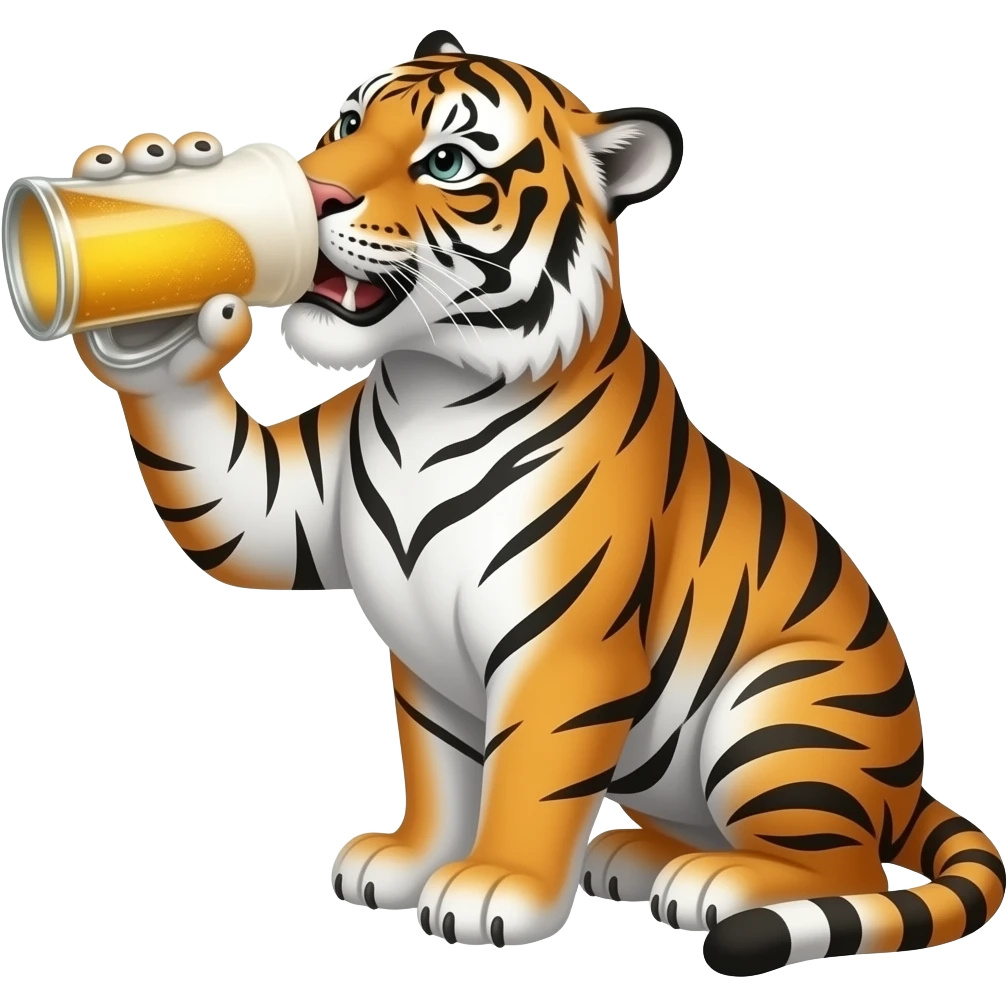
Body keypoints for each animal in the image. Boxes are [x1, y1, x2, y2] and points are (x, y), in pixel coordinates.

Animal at [57, 30, 1002, 973]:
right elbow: (439, 768)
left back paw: (716, 881)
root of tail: (908, 784)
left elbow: (532, 778)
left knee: (848, 869)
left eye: (445, 161)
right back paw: (634, 858)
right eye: (350, 122)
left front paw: (492, 889)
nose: (314, 190)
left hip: (783, 708)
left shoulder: (563, 647)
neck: (428, 387)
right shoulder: (313, 532)